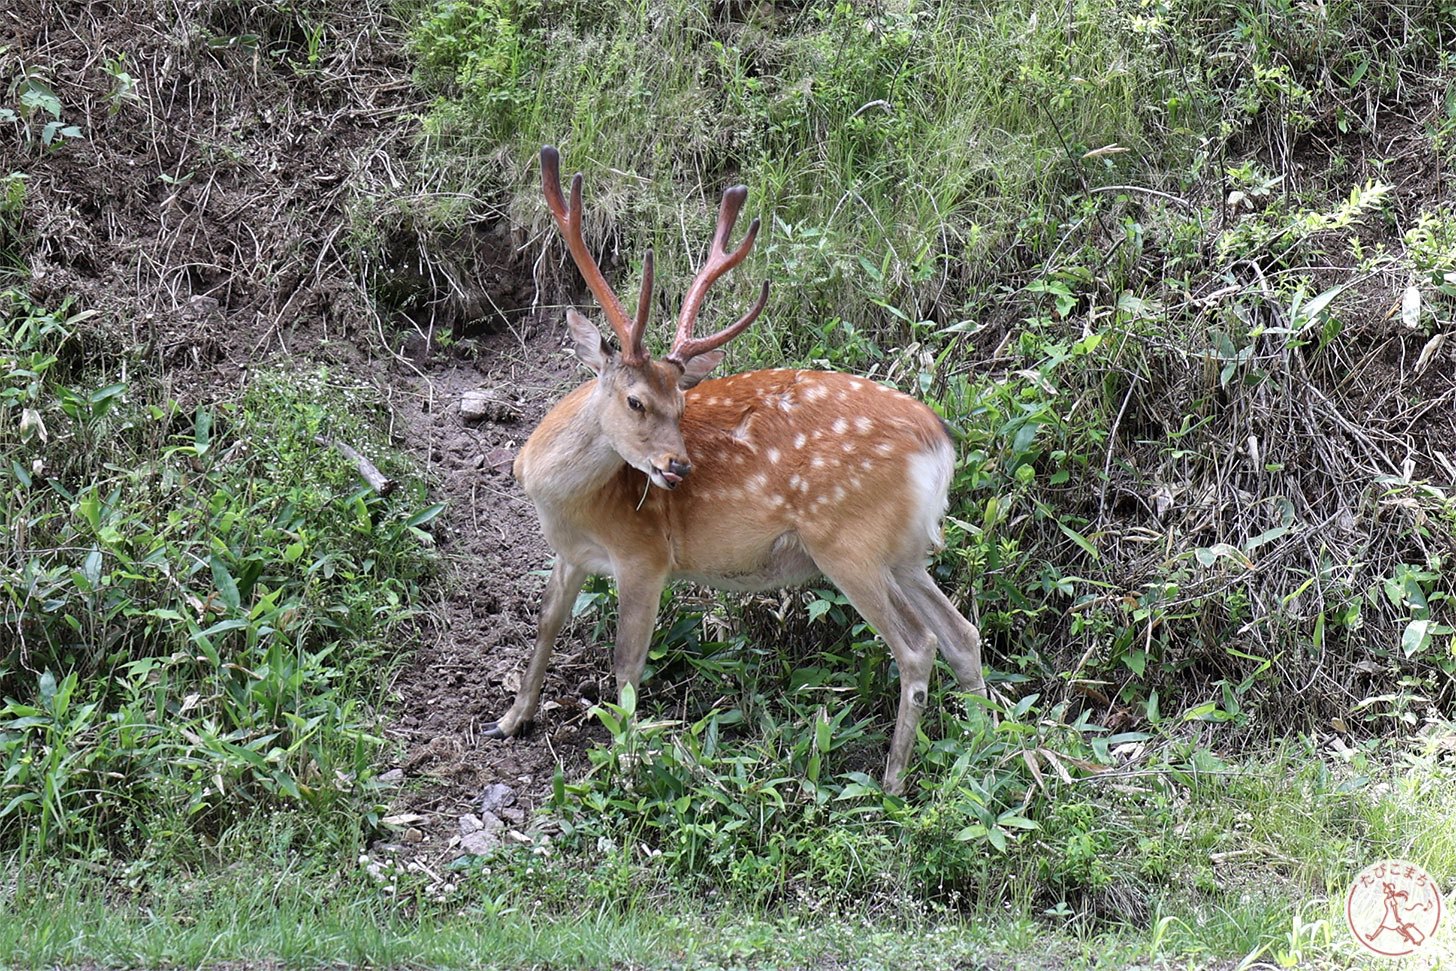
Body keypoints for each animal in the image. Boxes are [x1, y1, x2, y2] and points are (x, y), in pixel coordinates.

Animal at [492, 148, 990, 791]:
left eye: (681, 405)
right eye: (636, 401)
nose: (677, 466)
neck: (563, 500)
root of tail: (940, 444)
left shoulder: (645, 554)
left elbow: (626, 663)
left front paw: (625, 764)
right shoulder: (572, 553)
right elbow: (546, 624)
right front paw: (511, 719)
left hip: (846, 540)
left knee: (917, 645)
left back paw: (892, 781)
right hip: (904, 551)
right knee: (962, 635)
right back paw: (986, 747)